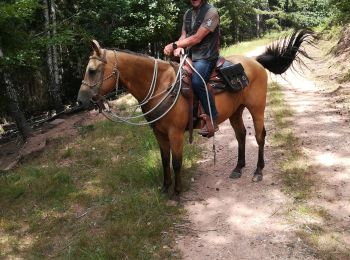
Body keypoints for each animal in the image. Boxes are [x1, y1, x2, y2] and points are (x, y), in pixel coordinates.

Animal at [78, 29, 316, 196]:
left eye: (92, 70)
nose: (80, 100)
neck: (161, 86)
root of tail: (255, 62)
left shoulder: (175, 133)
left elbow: (176, 162)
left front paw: (176, 192)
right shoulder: (158, 133)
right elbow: (164, 160)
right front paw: (164, 188)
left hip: (257, 108)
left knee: (259, 136)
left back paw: (258, 171)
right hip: (236, 111)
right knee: (241, 135)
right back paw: (238, 168)